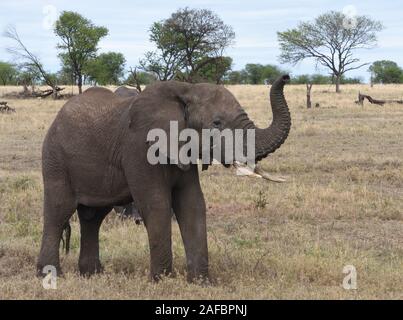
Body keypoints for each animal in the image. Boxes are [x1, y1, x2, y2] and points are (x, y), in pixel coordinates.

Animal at [36, 74, 292, 282]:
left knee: (93, 217)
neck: (186, 90)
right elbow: (156, 203)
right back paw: (49, 275)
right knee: (58, 211)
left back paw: (92, 275)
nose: (286, 76)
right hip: (55, 159)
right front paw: (162, 280)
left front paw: (201, 282)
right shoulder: (139, 148)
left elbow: (192, 203)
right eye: (217, 123)